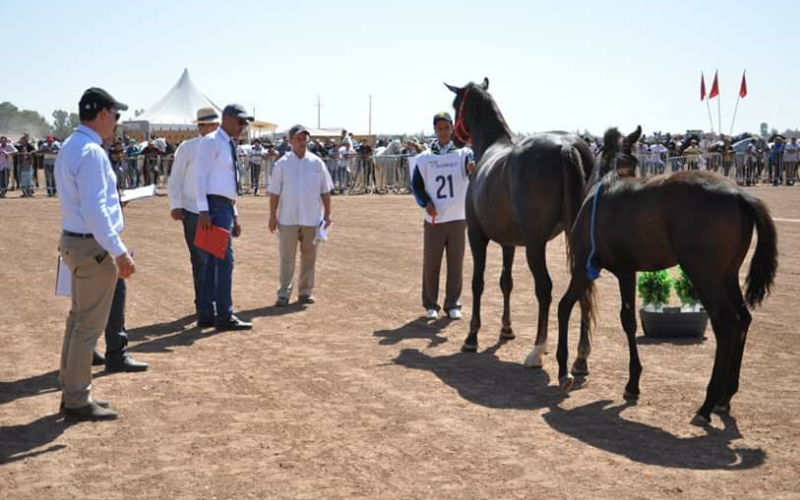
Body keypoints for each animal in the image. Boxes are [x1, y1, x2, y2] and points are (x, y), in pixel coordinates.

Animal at [445, 78, 595, 372]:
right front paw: (506, 329)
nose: (454, 137)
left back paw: (537, 351)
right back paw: (581, 358)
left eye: (456, 104)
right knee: (581, 284)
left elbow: (478, 282)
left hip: (535, 245)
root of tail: (565, 146)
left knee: (545, 288)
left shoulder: (476, 235)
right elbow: (506, 282)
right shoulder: (509, 242)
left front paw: (471, 337)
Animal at [555, 126, 778, 426]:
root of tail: (739, 194)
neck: (605, 186)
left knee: (726, 322)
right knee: (743, 318)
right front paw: (632, 384)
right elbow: (628, 320)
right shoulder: (627, 272)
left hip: (703, 276)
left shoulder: (582, 268)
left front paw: (564, 371)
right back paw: (725, 398)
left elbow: (564, 307)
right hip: (727, 276)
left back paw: (706, 405)